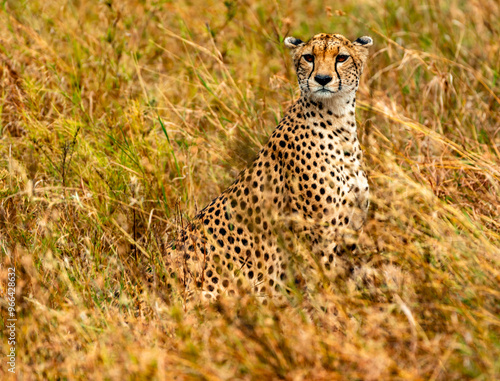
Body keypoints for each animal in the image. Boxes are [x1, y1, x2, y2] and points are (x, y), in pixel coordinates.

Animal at [166, 32, 374, 300]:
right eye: (309, 57)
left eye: (341, 58)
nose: (322, 79)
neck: (338, 120)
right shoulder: (318, 236)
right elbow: (326, 285)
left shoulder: (350, 231)